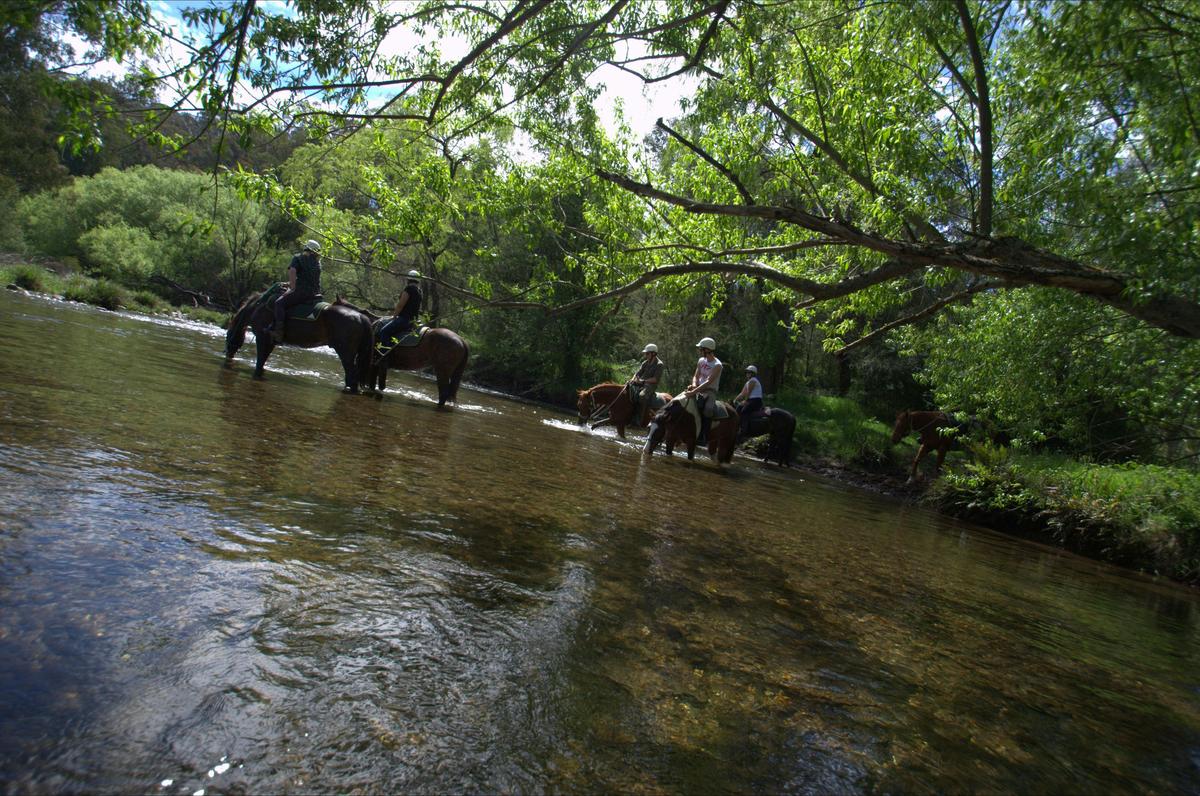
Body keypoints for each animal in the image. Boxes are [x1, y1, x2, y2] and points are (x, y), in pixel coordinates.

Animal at [224, 287, 372, 393]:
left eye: (227, 335)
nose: (228, 354)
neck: (258, 307)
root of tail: (361, 317)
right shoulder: (270, 342)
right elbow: (264, 360)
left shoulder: (262, 338)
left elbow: (260, 361)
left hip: (345, 353)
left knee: (351, 375)